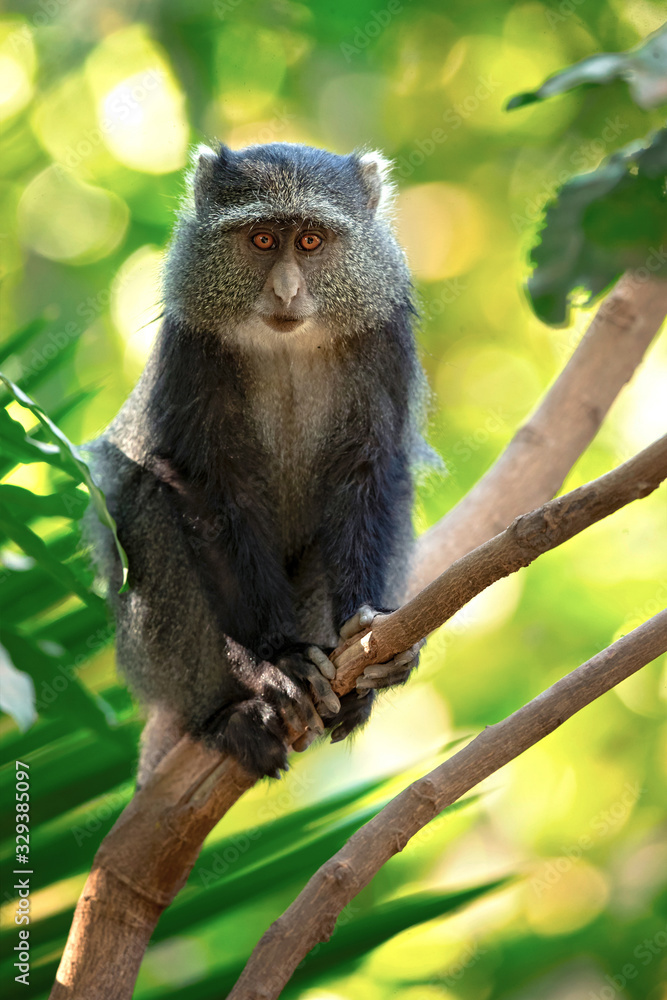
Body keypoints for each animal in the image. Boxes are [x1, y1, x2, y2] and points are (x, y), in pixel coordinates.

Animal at [84, 141, 432, 784]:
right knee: (145, 502)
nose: (287, 292)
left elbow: (369, 474)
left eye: (312, 241)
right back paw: (228, 714)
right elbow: (210, 489)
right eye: (264, 240)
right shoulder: (193, 345)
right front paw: (277, 661)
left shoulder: (382, 336)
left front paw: (371, 633)